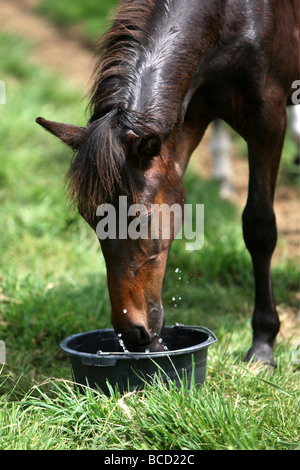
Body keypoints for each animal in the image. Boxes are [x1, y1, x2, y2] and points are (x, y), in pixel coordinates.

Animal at [37, 0, 300, 366]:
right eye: (91, 221)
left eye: (142, 219)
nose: (132, 333)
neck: (231, 17)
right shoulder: (185, 122)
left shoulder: (268, 118)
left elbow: (259, 227)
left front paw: (263, 343)